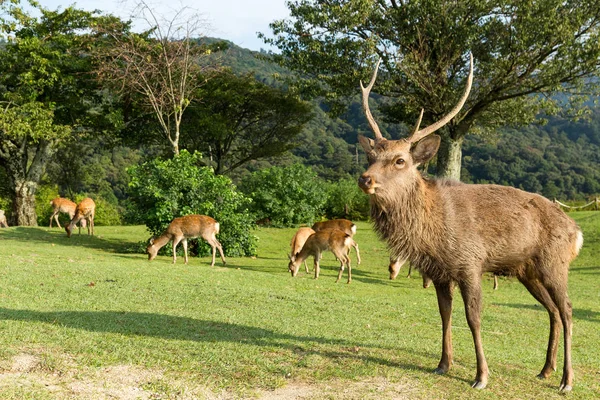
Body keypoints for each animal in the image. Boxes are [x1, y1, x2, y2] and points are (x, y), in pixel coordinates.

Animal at [356, 54, 580, 392]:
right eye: (370, 156)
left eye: (400, 160)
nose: (365, 179)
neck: (432, 232)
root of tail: (576, 230)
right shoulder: (438, 271)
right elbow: (444, 313)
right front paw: (442, 364)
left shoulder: (470, 263)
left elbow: (473, 317)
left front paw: (481, 376)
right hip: (527, 270)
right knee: (552, 310)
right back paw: (545, 370)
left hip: (555, 262)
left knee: (566, 309)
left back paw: (566, 380)